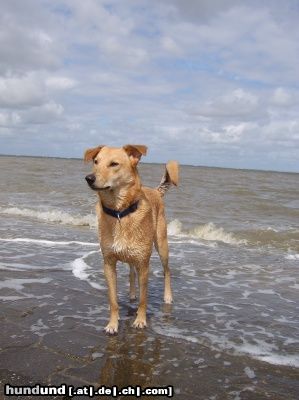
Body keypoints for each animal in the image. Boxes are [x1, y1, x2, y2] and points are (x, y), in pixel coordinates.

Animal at [83, 145, 179, 332]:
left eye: (114, 164)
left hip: (162, 245)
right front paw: (113, 324)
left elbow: (144, 299)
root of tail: (155, 191)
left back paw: (168, 296)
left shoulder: (144, 264)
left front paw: (140, 321)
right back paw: (132, 293)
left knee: (167, 271)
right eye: (96, 161)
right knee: (131, 272)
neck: (120, 213)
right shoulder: (109, 263)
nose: (89, 178)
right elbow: (113, 300)